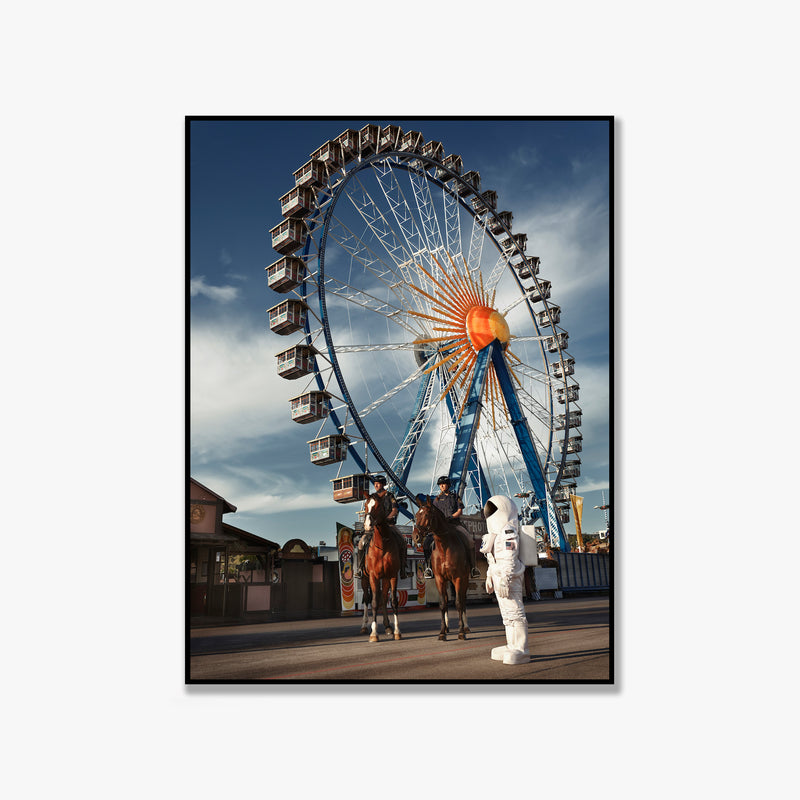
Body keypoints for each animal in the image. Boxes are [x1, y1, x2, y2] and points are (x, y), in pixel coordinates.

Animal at [362, 490, 404, 640]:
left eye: (378, 506)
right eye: (366, 505)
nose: (367, 525)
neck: (383, 545)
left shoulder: (392, 575)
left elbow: (393, 601)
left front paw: (397, 631)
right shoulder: (373, 576)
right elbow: (374, 603)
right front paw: (374, 633)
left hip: (384, 579)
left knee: (384, 598)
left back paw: (387, 627)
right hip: (364, 579)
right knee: (367, 599)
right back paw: (364, 626)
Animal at [416, 496, 472, 640]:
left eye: (426, 514)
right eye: (416, 515)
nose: (416, 536)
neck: (444, 546)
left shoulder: (458, 578)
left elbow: (458, 603)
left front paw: (461, 631)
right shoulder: (439, 579)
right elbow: (442, 603)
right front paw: (442, 632)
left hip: (465, 579)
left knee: (463, 600)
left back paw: (466, 626)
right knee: (447, 599)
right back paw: (447, 628)